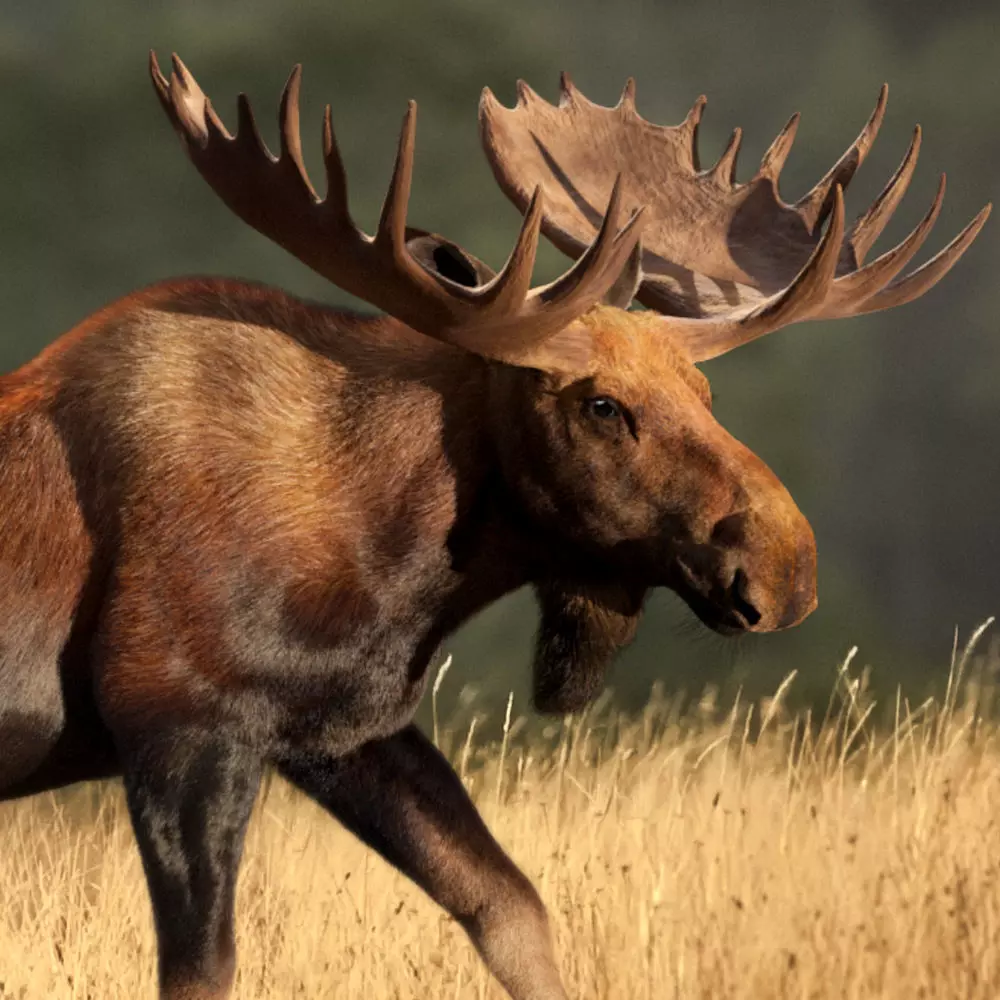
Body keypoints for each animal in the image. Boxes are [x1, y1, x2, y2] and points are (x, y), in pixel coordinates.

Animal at [0, 51, 989, 1000]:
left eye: (705, 391)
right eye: (601, 405)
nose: (786, 569)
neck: (386, 560)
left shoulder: (343, 731)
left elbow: (511, 910)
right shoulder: (179, 721)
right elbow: (203, 971)